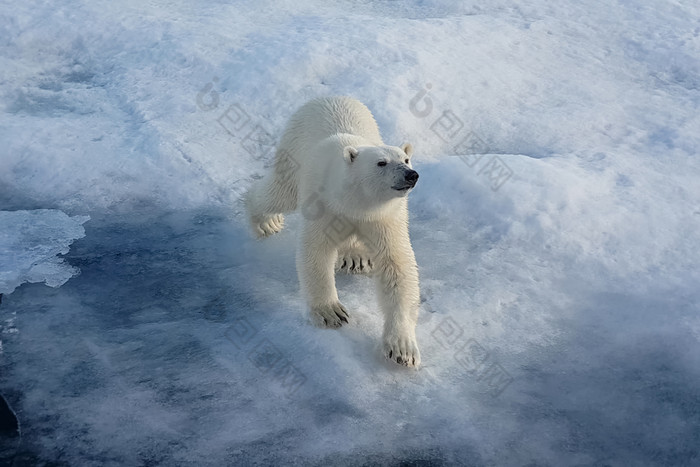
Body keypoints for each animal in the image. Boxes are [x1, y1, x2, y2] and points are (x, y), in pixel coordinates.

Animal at [245, 97, 422, 368]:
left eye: (406, 159)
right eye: (381, 162)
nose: (411, 175)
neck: (354, 201)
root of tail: (326, 97)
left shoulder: (384, 217)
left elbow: (397, 266)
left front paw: (402, 349)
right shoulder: (324, 203)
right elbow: (316, 251)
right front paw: (331, 312)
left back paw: (355, 257)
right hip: (293, 151)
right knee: (279, 192)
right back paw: (265, 221)